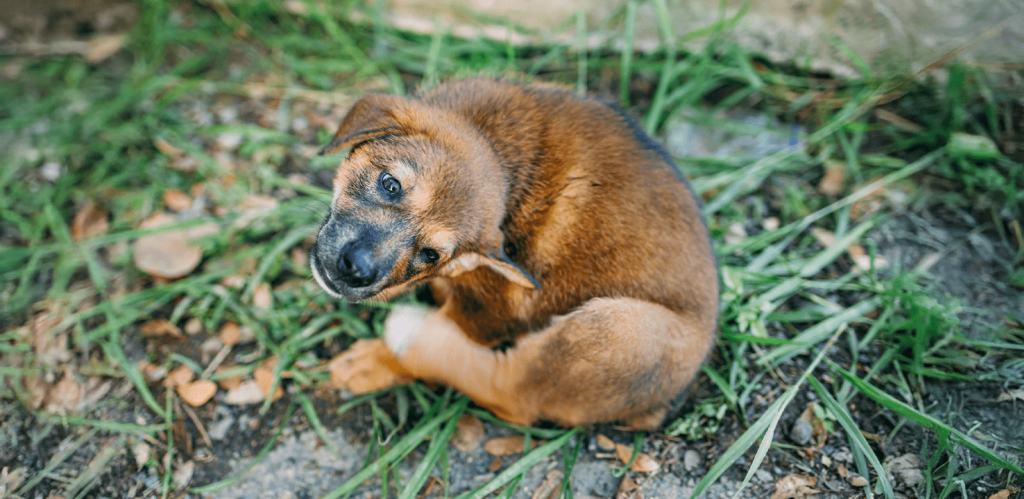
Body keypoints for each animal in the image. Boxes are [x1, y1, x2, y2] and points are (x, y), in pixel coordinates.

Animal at [310, 78, 718, 430]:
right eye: (390, 184)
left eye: (430, 254)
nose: (357, 271)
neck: (496, 144)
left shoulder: (490, 311)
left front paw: (375, 362)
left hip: (619, 328)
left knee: (508, 393)